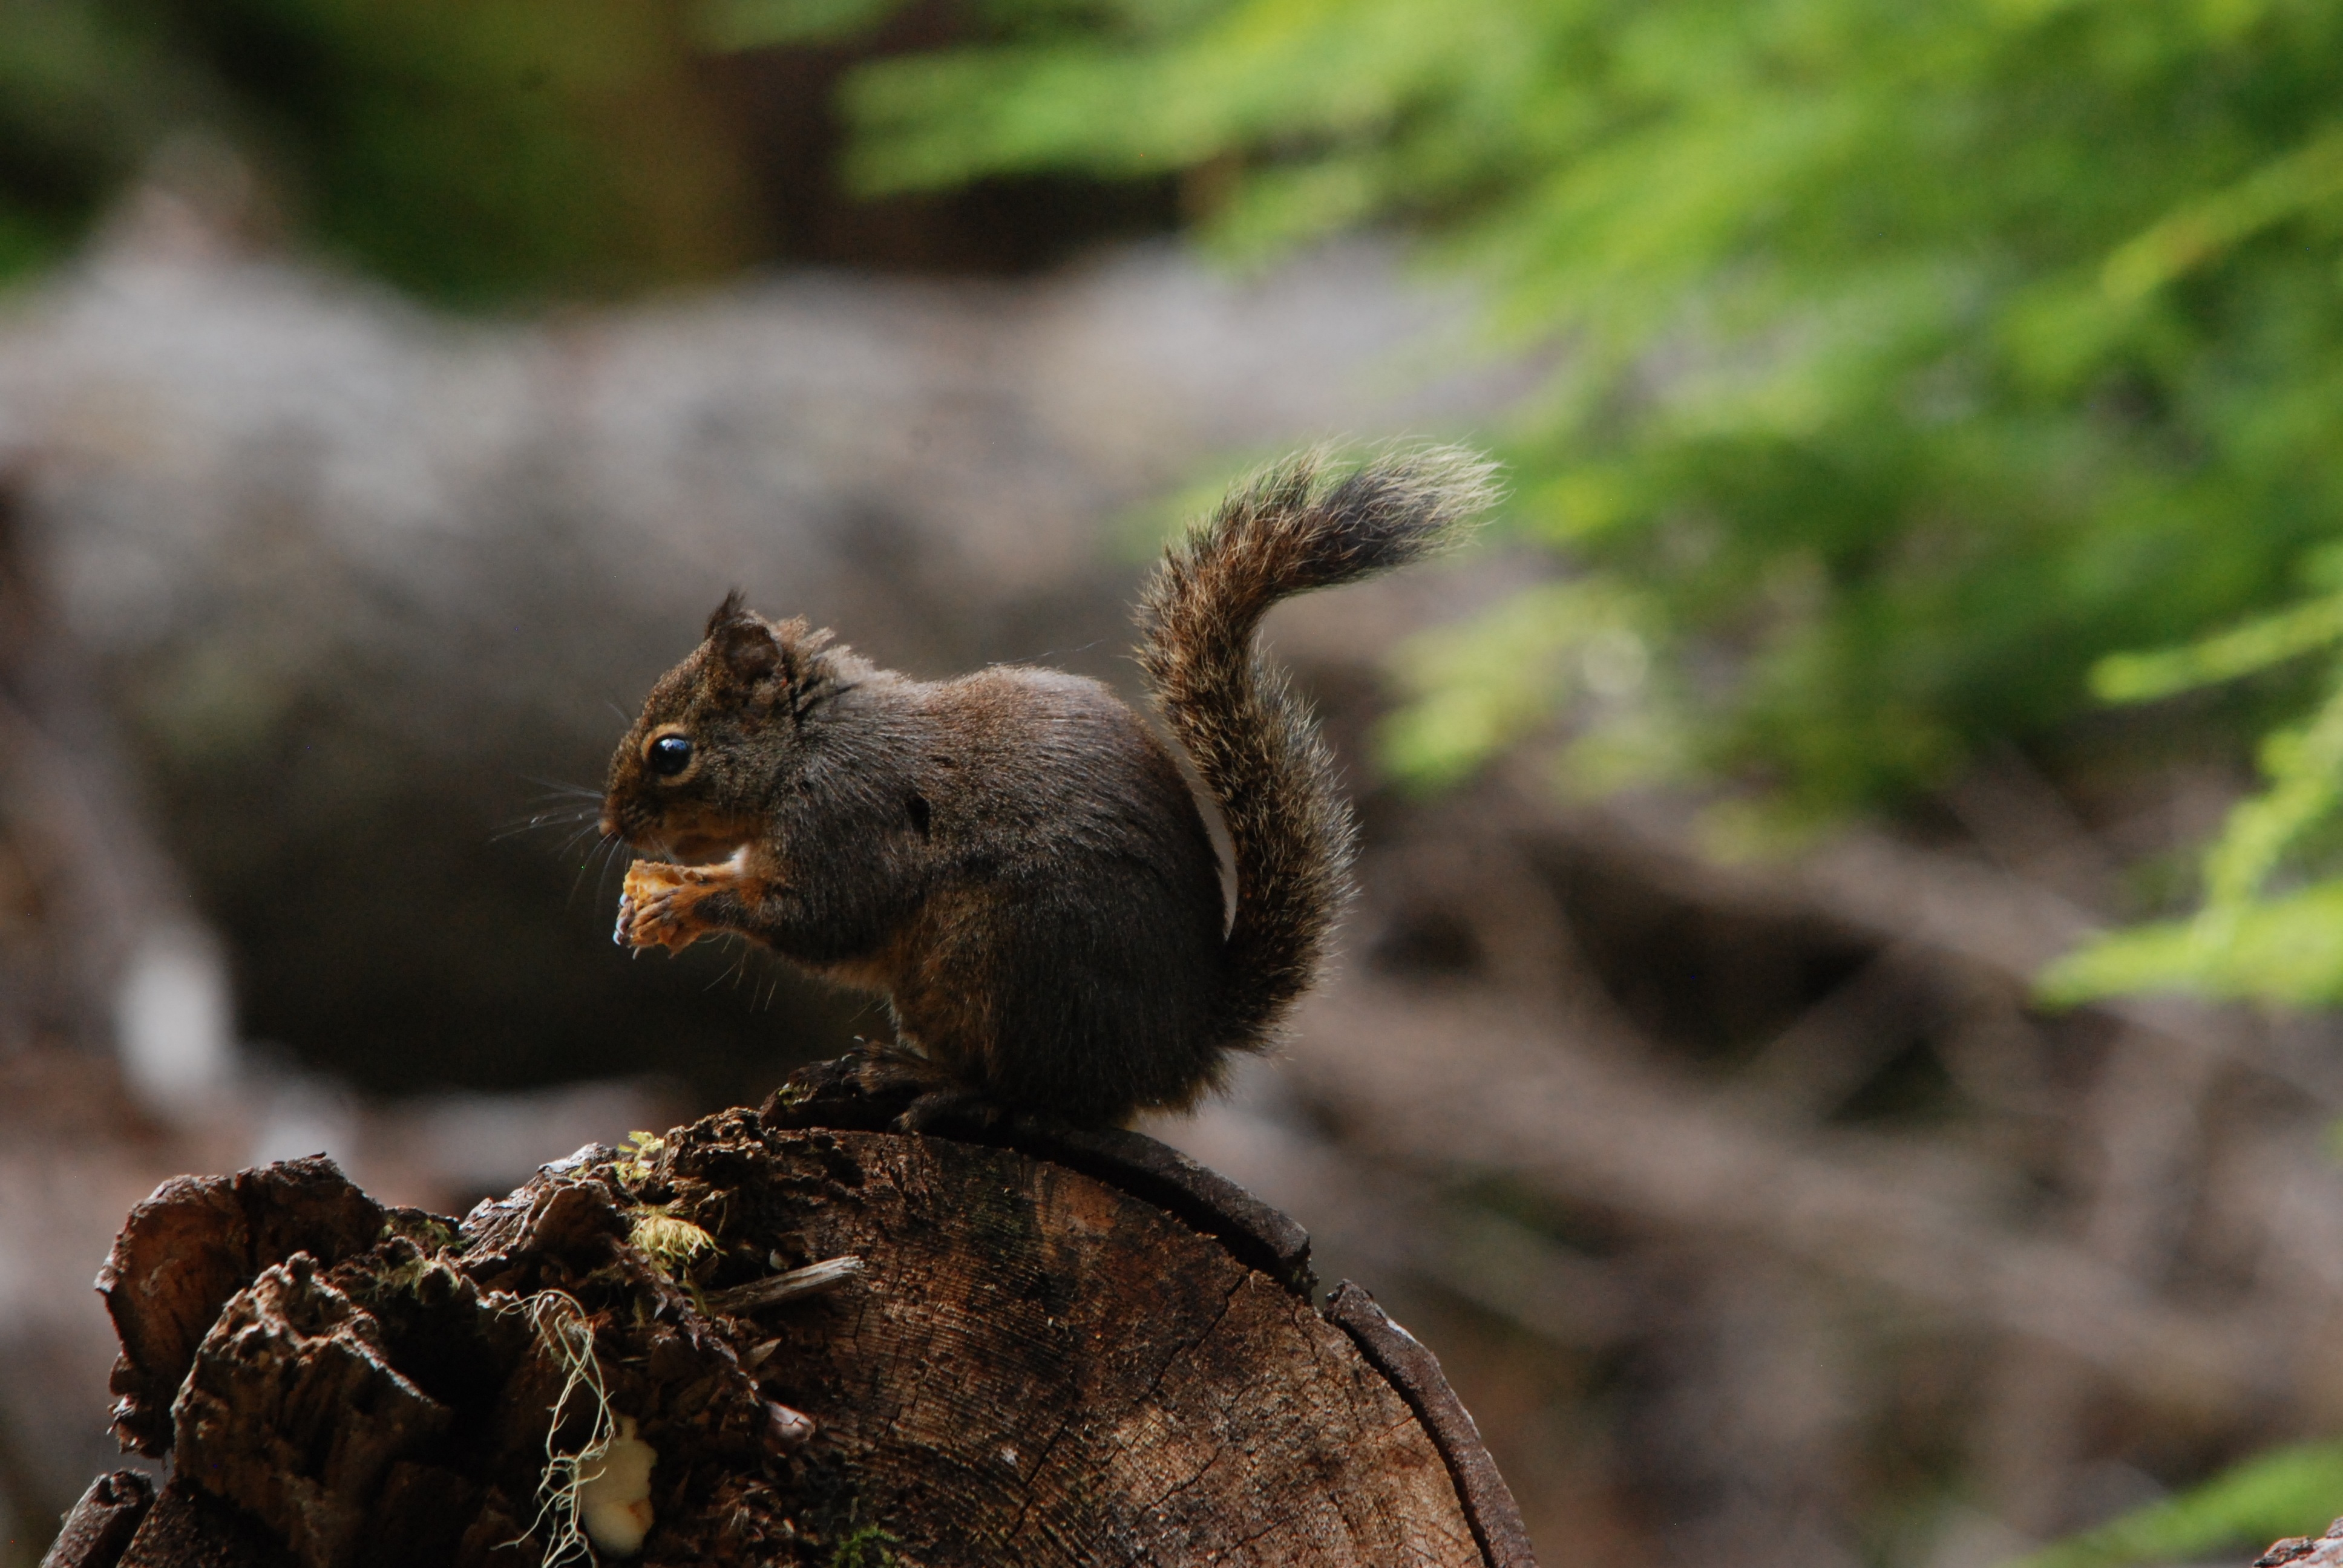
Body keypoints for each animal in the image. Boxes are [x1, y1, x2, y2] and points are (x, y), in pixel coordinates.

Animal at [595, 449, 1490, 1125]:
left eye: (670, 752)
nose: (611, 828)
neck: (803, 749)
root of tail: (1179, 1049)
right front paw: (669, 886)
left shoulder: (844, 819)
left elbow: (820, 918)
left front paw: (689, 899)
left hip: (1011, 959)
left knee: (1042, 1099)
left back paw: (939, 1084)